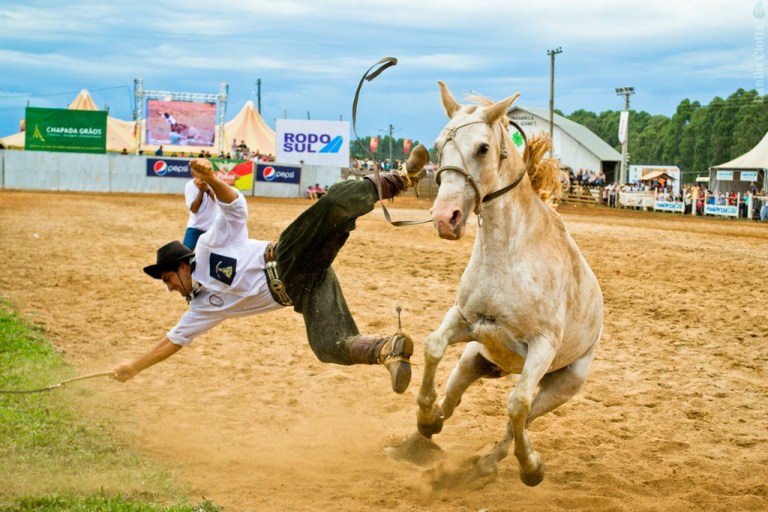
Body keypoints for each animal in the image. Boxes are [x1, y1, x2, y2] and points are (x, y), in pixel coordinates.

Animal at [408, 81, 608, 488]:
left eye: (483, 148)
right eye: (437, 145)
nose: (445, 217)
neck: (509, 253)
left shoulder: (542, 347)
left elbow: (516, 405)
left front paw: (530, 467)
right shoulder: (465, 320)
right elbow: (433, 346)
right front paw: (425, 415)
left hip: (563, 385)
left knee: (522, 416)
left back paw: (495, 462)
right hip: (475, 359)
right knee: (454, 397)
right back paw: (429, 427)